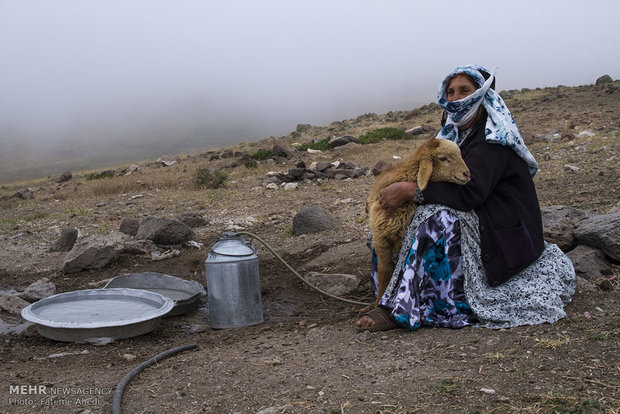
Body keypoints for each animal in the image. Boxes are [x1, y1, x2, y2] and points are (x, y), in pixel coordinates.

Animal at [368, 137, 470, 306]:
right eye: (443, 158)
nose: (467, 174)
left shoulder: (401, 239)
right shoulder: (380, 241)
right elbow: (384, 275)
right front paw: (377, 303)